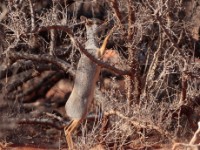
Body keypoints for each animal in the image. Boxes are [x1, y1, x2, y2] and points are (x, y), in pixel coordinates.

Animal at [64, 17, 114, 149]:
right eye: (98, 22)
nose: (107, 21)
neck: (92, 45)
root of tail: (66, 108)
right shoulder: (99, 54)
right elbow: (106, 39)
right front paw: (114, 27)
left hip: (79, 117)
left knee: (65, 128)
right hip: (80, 116)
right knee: (68, 130)